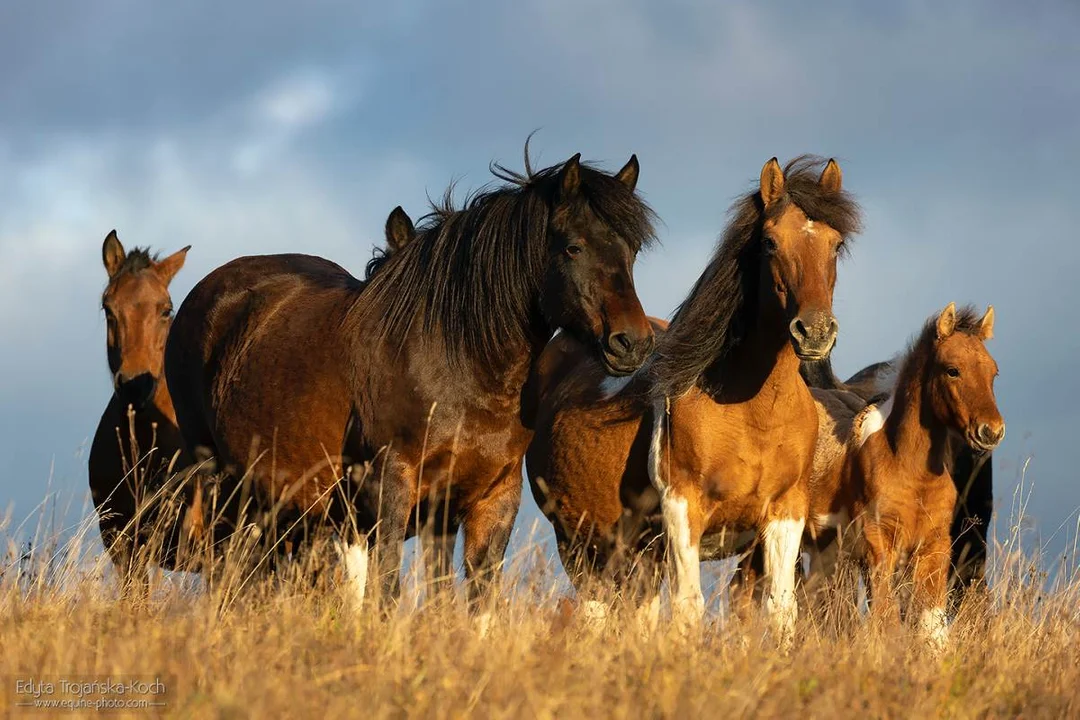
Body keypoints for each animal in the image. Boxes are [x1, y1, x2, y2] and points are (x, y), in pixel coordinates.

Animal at [522, 155, 859, 639]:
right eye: (771, 242)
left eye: (836, 244)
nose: (814, 331)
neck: (752, 413)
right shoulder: (683, 509)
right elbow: (689, 607)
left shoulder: (784, 515)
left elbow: (781, 610)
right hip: (581, 544)